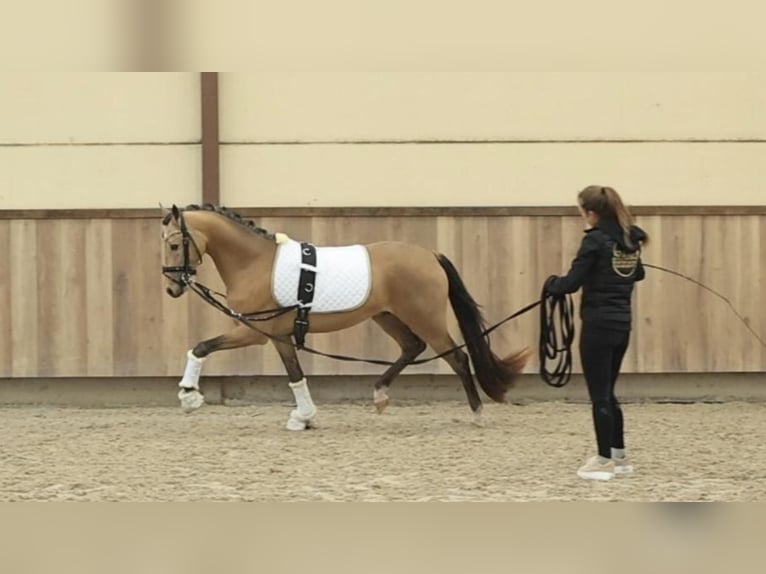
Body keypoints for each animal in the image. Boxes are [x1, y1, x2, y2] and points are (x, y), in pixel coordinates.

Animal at [161, 204, 531, 430]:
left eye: (175, 245)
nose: (171, 288)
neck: (255, 263)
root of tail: (430, 255)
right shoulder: (279, 336)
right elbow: (295, 375)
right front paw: (303, 418)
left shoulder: (253, 331)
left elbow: (201, 347)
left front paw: (189, 396)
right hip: (387, 316)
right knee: (412, 348)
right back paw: (380, 395)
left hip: (425, 318)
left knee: (457, 357)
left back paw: (477, 413)